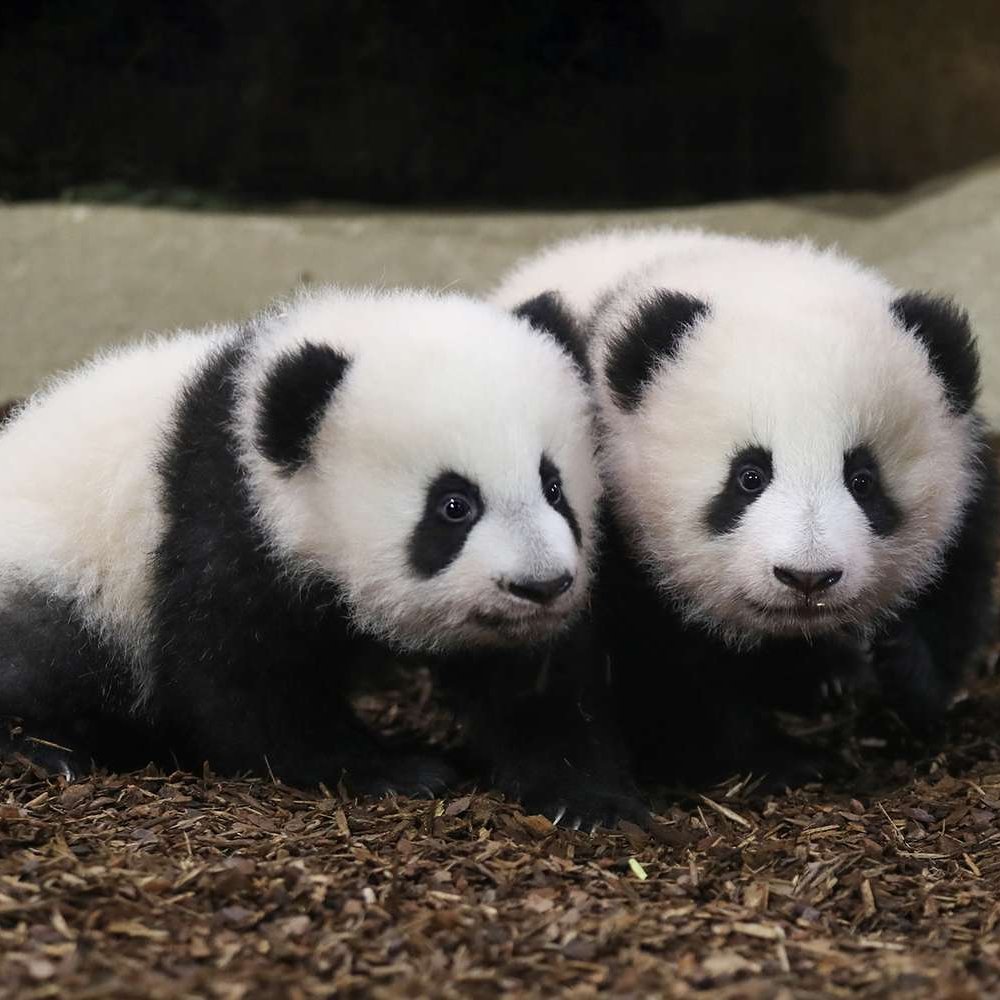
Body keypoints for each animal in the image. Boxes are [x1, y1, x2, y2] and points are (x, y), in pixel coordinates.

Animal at [0, 286, 646, 827]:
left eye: (554, 487)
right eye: (453, 506)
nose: (541, 585)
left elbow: (535, 682)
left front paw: (587, 799)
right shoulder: (222, 525)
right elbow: (243, 684)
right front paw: (397, 771)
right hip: (60, 573)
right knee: (49, 655)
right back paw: (47, 751)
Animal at [493, 229, 999, 788]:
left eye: (863, 481)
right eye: (749, 477)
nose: (807, 577)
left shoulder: (965, 481)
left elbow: (952, 592)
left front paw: (898, 667)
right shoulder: (617, 522)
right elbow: (668, 674)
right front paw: (779, 760)